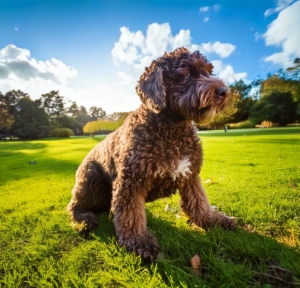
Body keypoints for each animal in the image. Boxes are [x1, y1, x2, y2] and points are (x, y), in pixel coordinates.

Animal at [68, 47, 237, 260]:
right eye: (187, 74)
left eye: (208, 71)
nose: (225, 91)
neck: (173, 129)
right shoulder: (130, 182)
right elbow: (130, 215)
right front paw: (139, 242)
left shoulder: (190, 176)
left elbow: (199, 203)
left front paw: (214, 220)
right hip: (90, 180)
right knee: (75, 206)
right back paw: (83, 221)